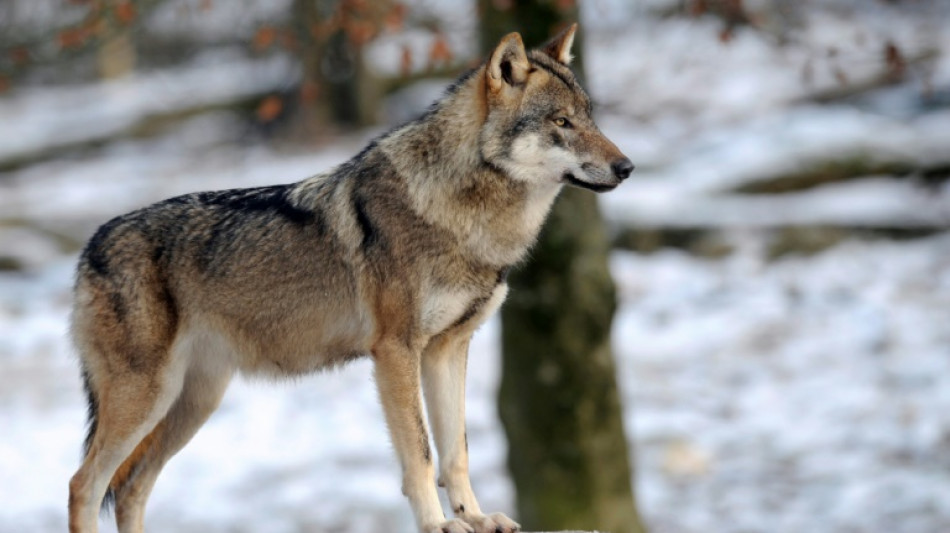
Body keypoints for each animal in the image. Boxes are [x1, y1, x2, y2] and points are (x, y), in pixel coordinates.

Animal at [67, 24, 633, 533]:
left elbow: (456, 452)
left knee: (131, 488)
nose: (627, 167)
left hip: (192, 403)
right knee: (85, 485)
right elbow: (421, 454)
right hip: (148, 398)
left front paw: (475, 518)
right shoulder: (396, 351)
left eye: (591, 117)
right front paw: (440, 524)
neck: (462, 214)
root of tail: (88, 248)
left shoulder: (447, 349)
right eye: (562, 121)